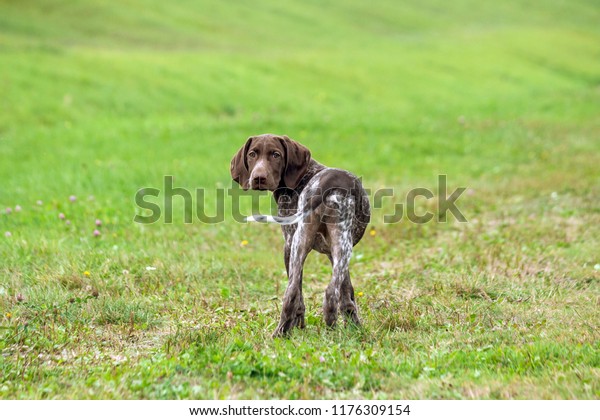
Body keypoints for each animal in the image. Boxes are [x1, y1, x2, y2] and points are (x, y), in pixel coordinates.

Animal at [231, 135, 368, 338]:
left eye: (276, 154)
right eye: (252, 154)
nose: (258, 178)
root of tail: (326, 186)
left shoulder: (305, 248)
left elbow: (345, 291)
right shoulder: (324, 251)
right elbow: (346, 291)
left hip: (303, 245)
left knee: (292, 294)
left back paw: (281, 333)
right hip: (333, 246)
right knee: (325, 292)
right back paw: (327, 327)